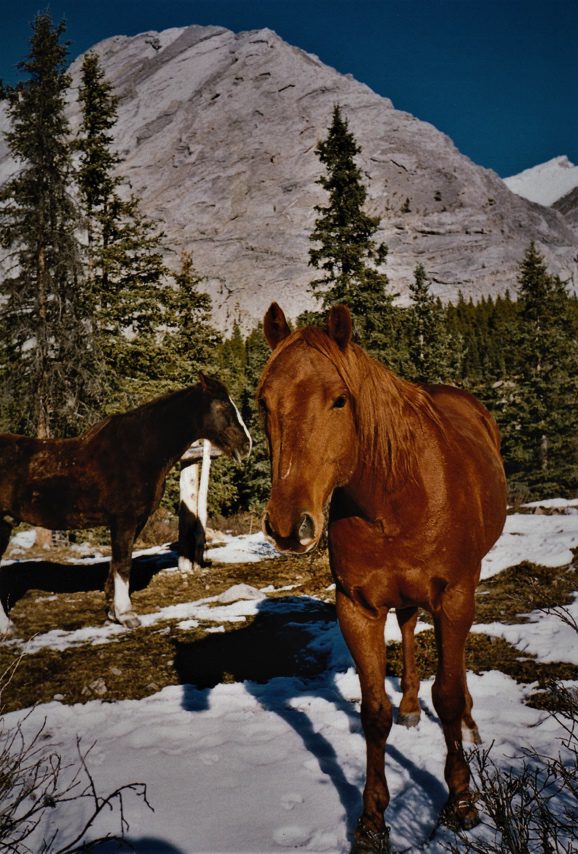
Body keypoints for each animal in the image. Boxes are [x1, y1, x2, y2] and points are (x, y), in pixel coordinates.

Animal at [0, 374, 251, 636]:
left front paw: (113, 612)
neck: (139, 451)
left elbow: (116, 564)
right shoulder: (124, 520)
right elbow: (123, 564)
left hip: (4, 523)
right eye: (222, 406)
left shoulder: (135, 521)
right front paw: (126, 615)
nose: (246, 445)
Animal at [258, 303, 507, 852]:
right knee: (410, 625)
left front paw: (461, 802)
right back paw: (412, 704)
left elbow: (449, 696)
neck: (396, 496)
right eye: (263, 403)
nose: (288, 525)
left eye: (339, 400)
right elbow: (374, 714)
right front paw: (372, 820)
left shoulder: (455, 596)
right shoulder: (357, 606)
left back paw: (468, 720)